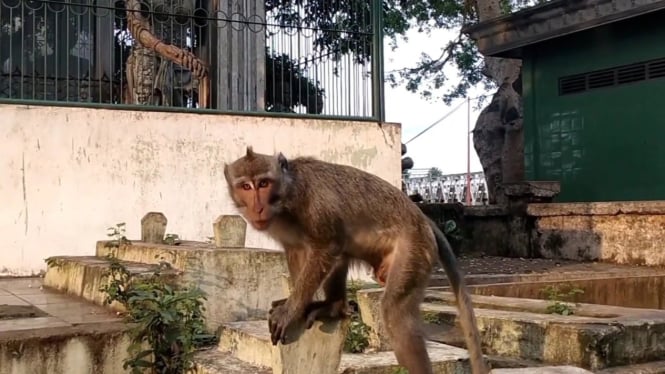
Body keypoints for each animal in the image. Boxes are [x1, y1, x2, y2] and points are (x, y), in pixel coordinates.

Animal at [223, 147, 488, 374]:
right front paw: (299, 305)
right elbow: (298, 251)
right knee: (341, 255)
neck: (286, 197)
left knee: (394, 313)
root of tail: (422, 218)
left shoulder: (313, 202)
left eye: (263, 183)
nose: (257, 207)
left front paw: (291, 311)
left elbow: (326, 246)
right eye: (245, 186)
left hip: (415, 249)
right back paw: (334, 306)